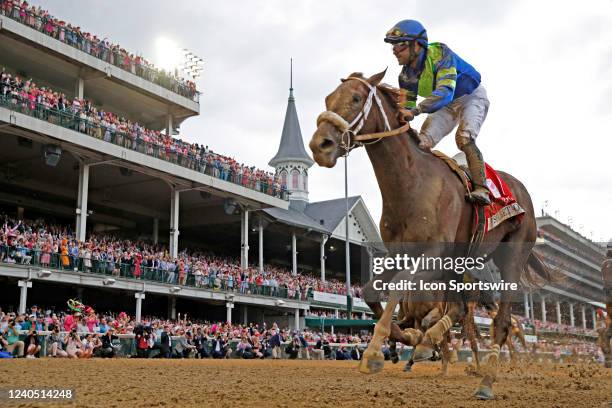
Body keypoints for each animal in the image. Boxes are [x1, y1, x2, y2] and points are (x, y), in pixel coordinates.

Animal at [308, 69, 552, 398]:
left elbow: (398, 287)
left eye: (356, 98)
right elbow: (372, 291)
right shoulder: (399, 254)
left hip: (511, 256)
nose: (320, 145)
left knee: (500, 322)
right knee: (460, 309)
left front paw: (373, 352)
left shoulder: (433, 254)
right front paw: (409, 338)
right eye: (327, 99)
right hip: (458, 265)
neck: (412, 184)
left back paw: (486, 380)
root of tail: (522, 191)